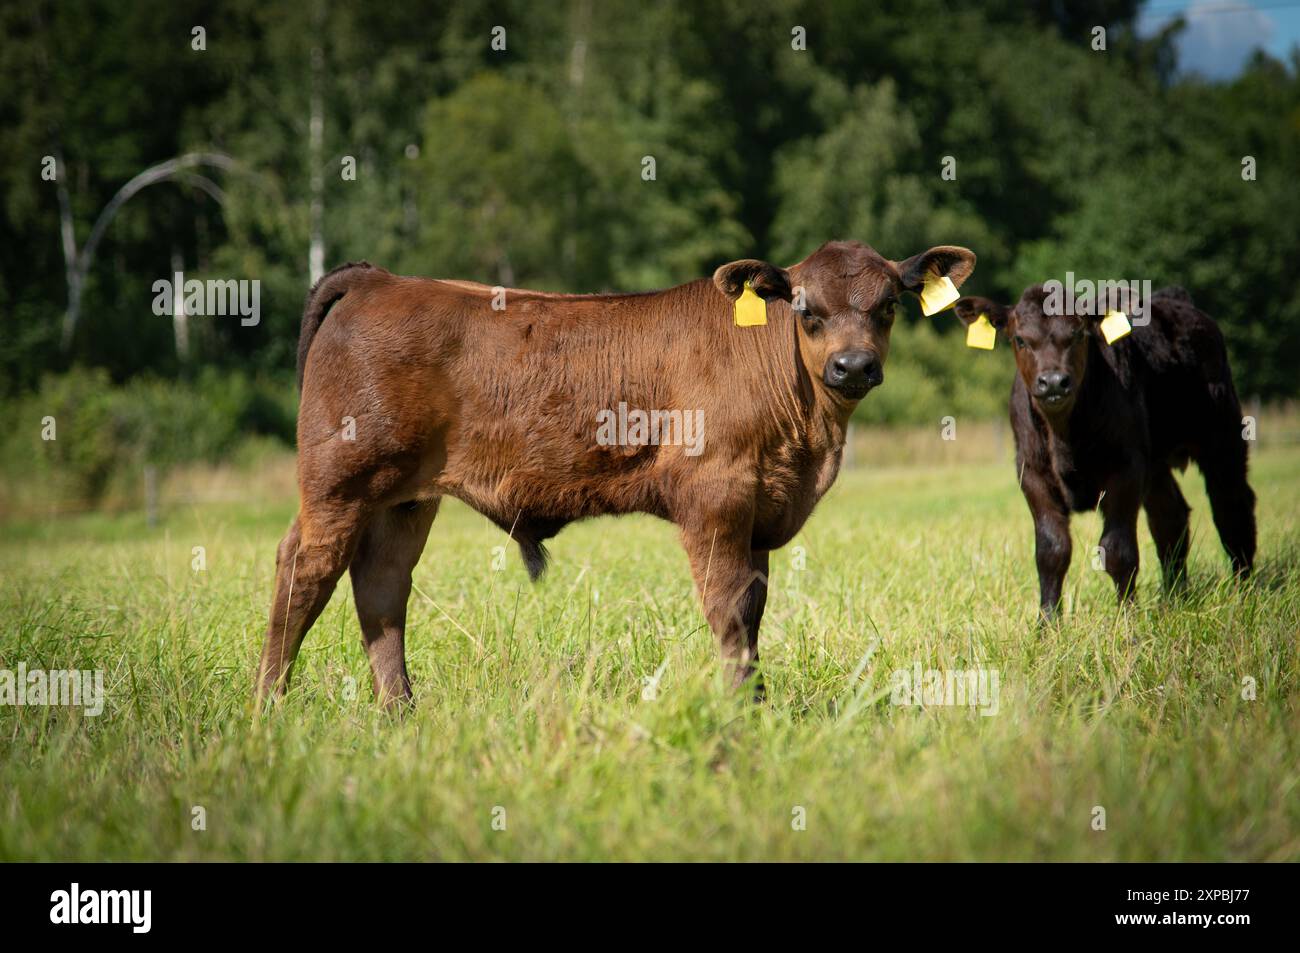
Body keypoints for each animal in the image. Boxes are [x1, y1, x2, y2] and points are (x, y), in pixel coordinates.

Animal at [255, 241, 976, 707]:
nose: (853, 366)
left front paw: (757, 701)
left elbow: (755, 610)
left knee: (381, 586)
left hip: (403, 499)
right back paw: (269, 707)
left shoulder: (761, 511)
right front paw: (742, 713)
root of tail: (380, 279)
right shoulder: (715, 498)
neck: (808, 445)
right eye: (805, 308)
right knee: (304, 570)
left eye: (888, 305)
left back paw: (401, 712)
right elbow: (730, 609)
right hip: (339, 482)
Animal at [952, 284, 1256, 619]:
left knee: (1231, 506)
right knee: (1170, 517)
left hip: (1222, 432)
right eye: (1019, 339)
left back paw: (1243, 593)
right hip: (1155, 462)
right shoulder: (1031, 471)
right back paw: (1174, 599)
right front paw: (1048, 624)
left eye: (1079, 334)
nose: (1053, 382)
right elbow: (1051, 550)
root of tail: (1175, 299)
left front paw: (1127, 620)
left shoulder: (1126, 467)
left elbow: (1117, 549)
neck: (1064, 436)